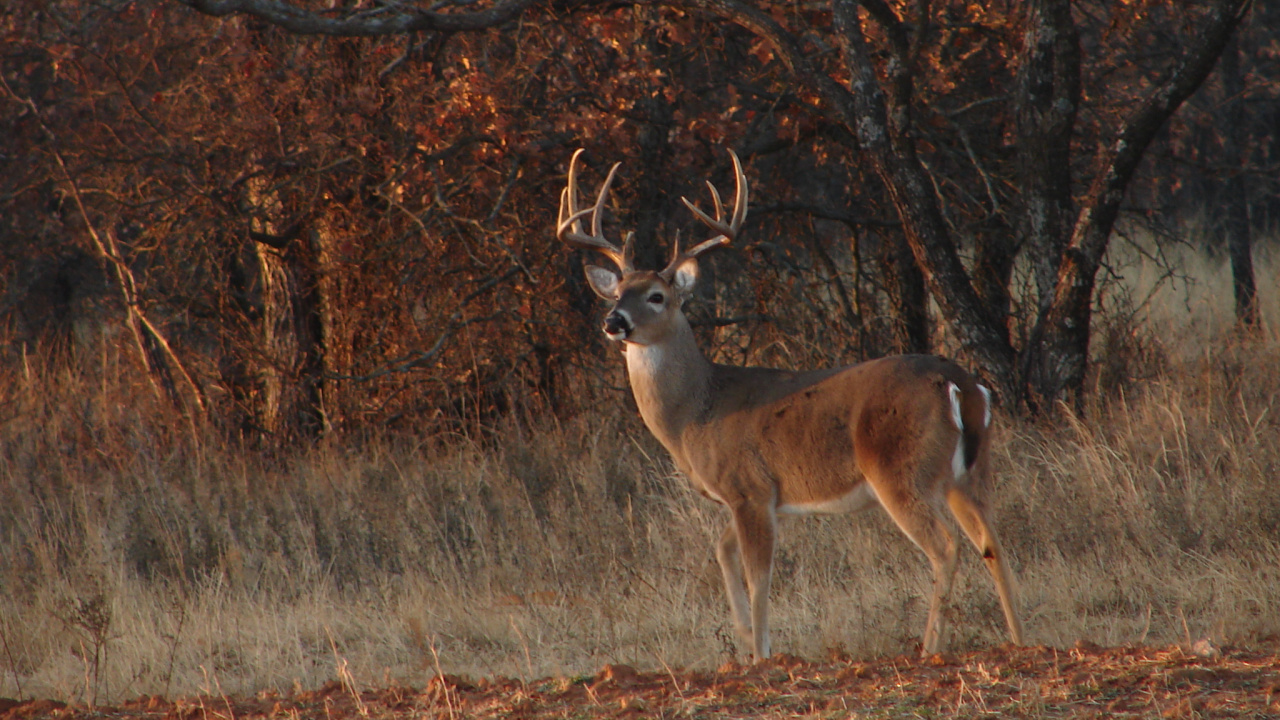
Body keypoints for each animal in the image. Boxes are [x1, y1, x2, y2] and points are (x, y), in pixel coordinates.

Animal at [556, 148, 1024, 661]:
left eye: (657, 296)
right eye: (618, 291)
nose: (613, 321)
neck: (696, 412)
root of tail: (962, 385)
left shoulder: (749, 488)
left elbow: (758, 578)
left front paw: (761, 655)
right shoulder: (758, 498)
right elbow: (723, 553)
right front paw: (744, 641)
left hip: (901, 470)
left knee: (946, 547)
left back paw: (930, 649)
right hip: (969, 473)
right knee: (993, 542)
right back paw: (1023, 640)